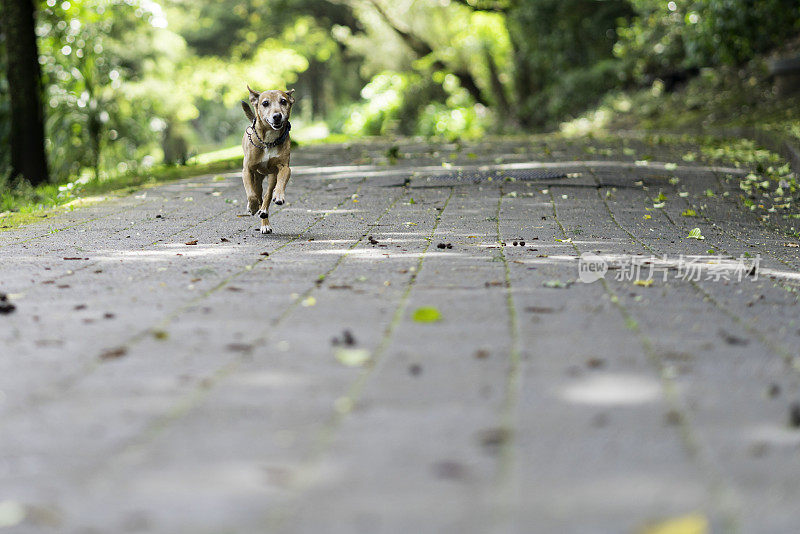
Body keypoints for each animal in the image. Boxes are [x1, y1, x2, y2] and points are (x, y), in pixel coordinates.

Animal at [244, 86, 296, 234]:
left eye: (283, 101)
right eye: (265, 103)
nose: (277, 116)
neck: (268, 141)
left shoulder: (284, 167)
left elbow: (281, 182)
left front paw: (278, 196)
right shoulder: (247, 169)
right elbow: (251, 194)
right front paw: (252, 206)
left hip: (271, 176)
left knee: (266, 196)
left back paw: (264, 215)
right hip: (256, 178)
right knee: (257, 194)